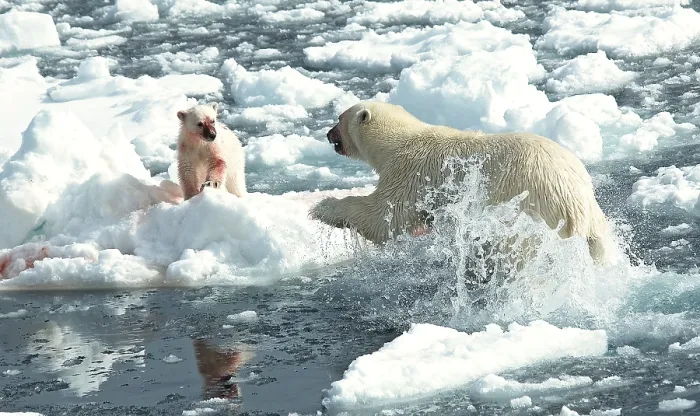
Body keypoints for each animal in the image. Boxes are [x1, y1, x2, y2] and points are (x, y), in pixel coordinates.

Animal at [309, 101, 618, 266]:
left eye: (339, 118)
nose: (328, 134)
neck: (398, 141)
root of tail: (577, 200)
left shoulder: (411, 174)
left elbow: (382, 218)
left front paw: (321, 206)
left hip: (534, 200)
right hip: (594, 218)